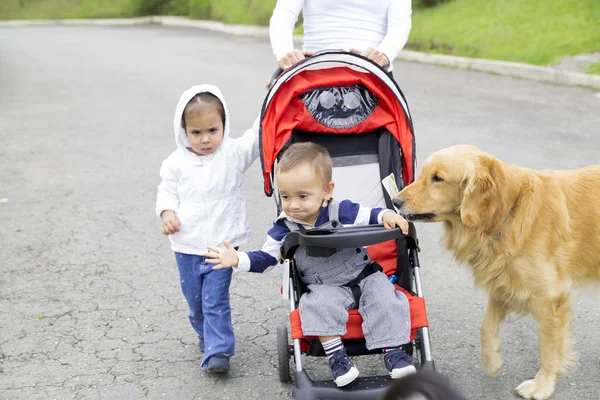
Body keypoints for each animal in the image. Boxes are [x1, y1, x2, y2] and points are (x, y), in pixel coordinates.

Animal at [394, 145, 600, 400]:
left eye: (437, 178)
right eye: (423, 173)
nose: (395, 201)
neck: (506, 211)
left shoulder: (549, 297)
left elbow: (547, 348)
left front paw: (542, 385)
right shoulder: (504, 284)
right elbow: (486, 327)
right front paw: (492, 362)